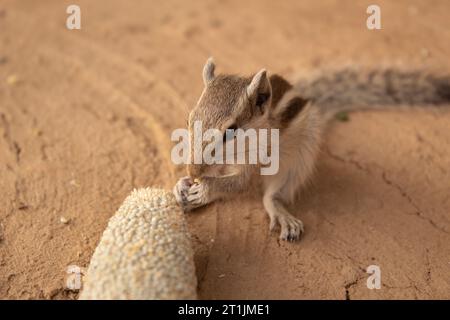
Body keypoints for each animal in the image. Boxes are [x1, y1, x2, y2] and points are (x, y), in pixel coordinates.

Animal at [173, 58, 450, 242]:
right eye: (189, 120)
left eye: (230, 131)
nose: (193, 171)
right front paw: (183, 185)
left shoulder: (253, 161)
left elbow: (238, 184)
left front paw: (204, 188)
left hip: (299, 159)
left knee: (272, 195)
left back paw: (280, 213)